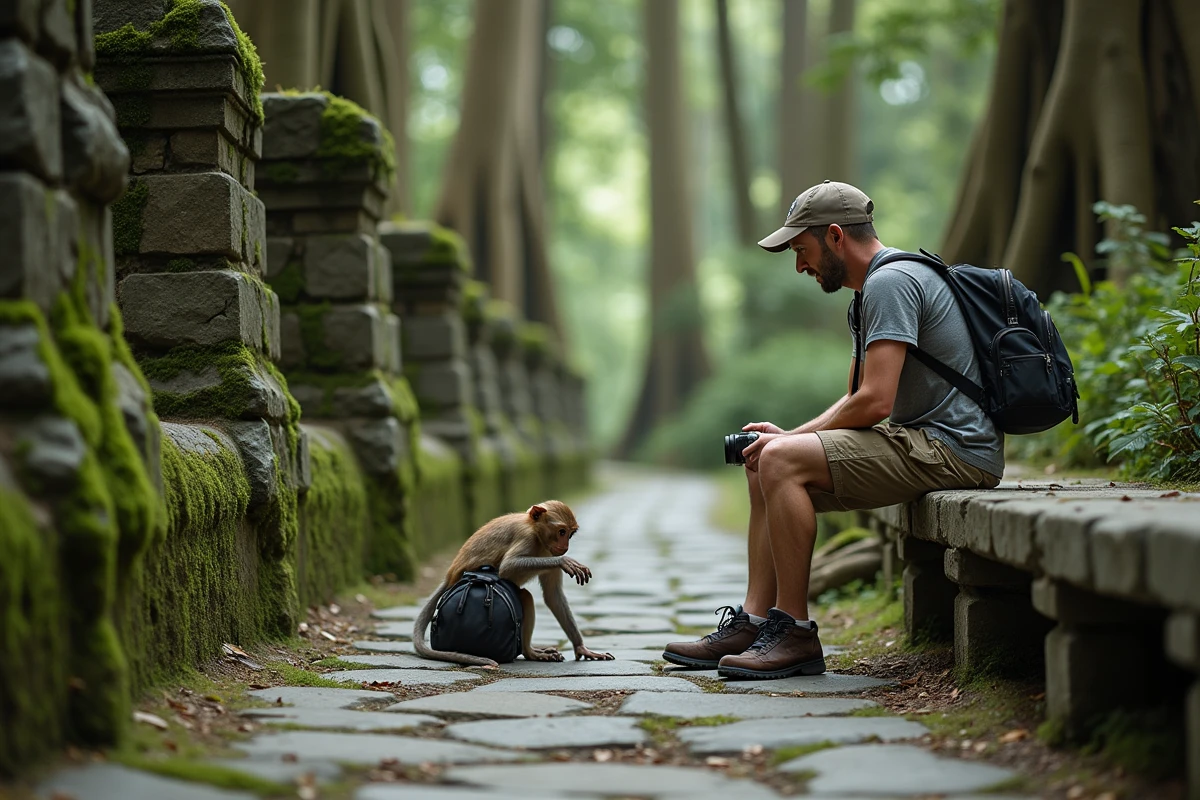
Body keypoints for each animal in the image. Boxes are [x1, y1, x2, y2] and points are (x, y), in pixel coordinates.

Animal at [412, 500, 615, 667]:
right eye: (562, 532)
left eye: (570, 534)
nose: (565, 546)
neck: (535, 531)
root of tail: (450, 576)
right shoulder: (526, 537)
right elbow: (508, 567)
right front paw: (564, 561)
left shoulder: (550, 550)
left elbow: (553, 596)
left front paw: (581, 648)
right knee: (525, 596)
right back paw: (531, 653)